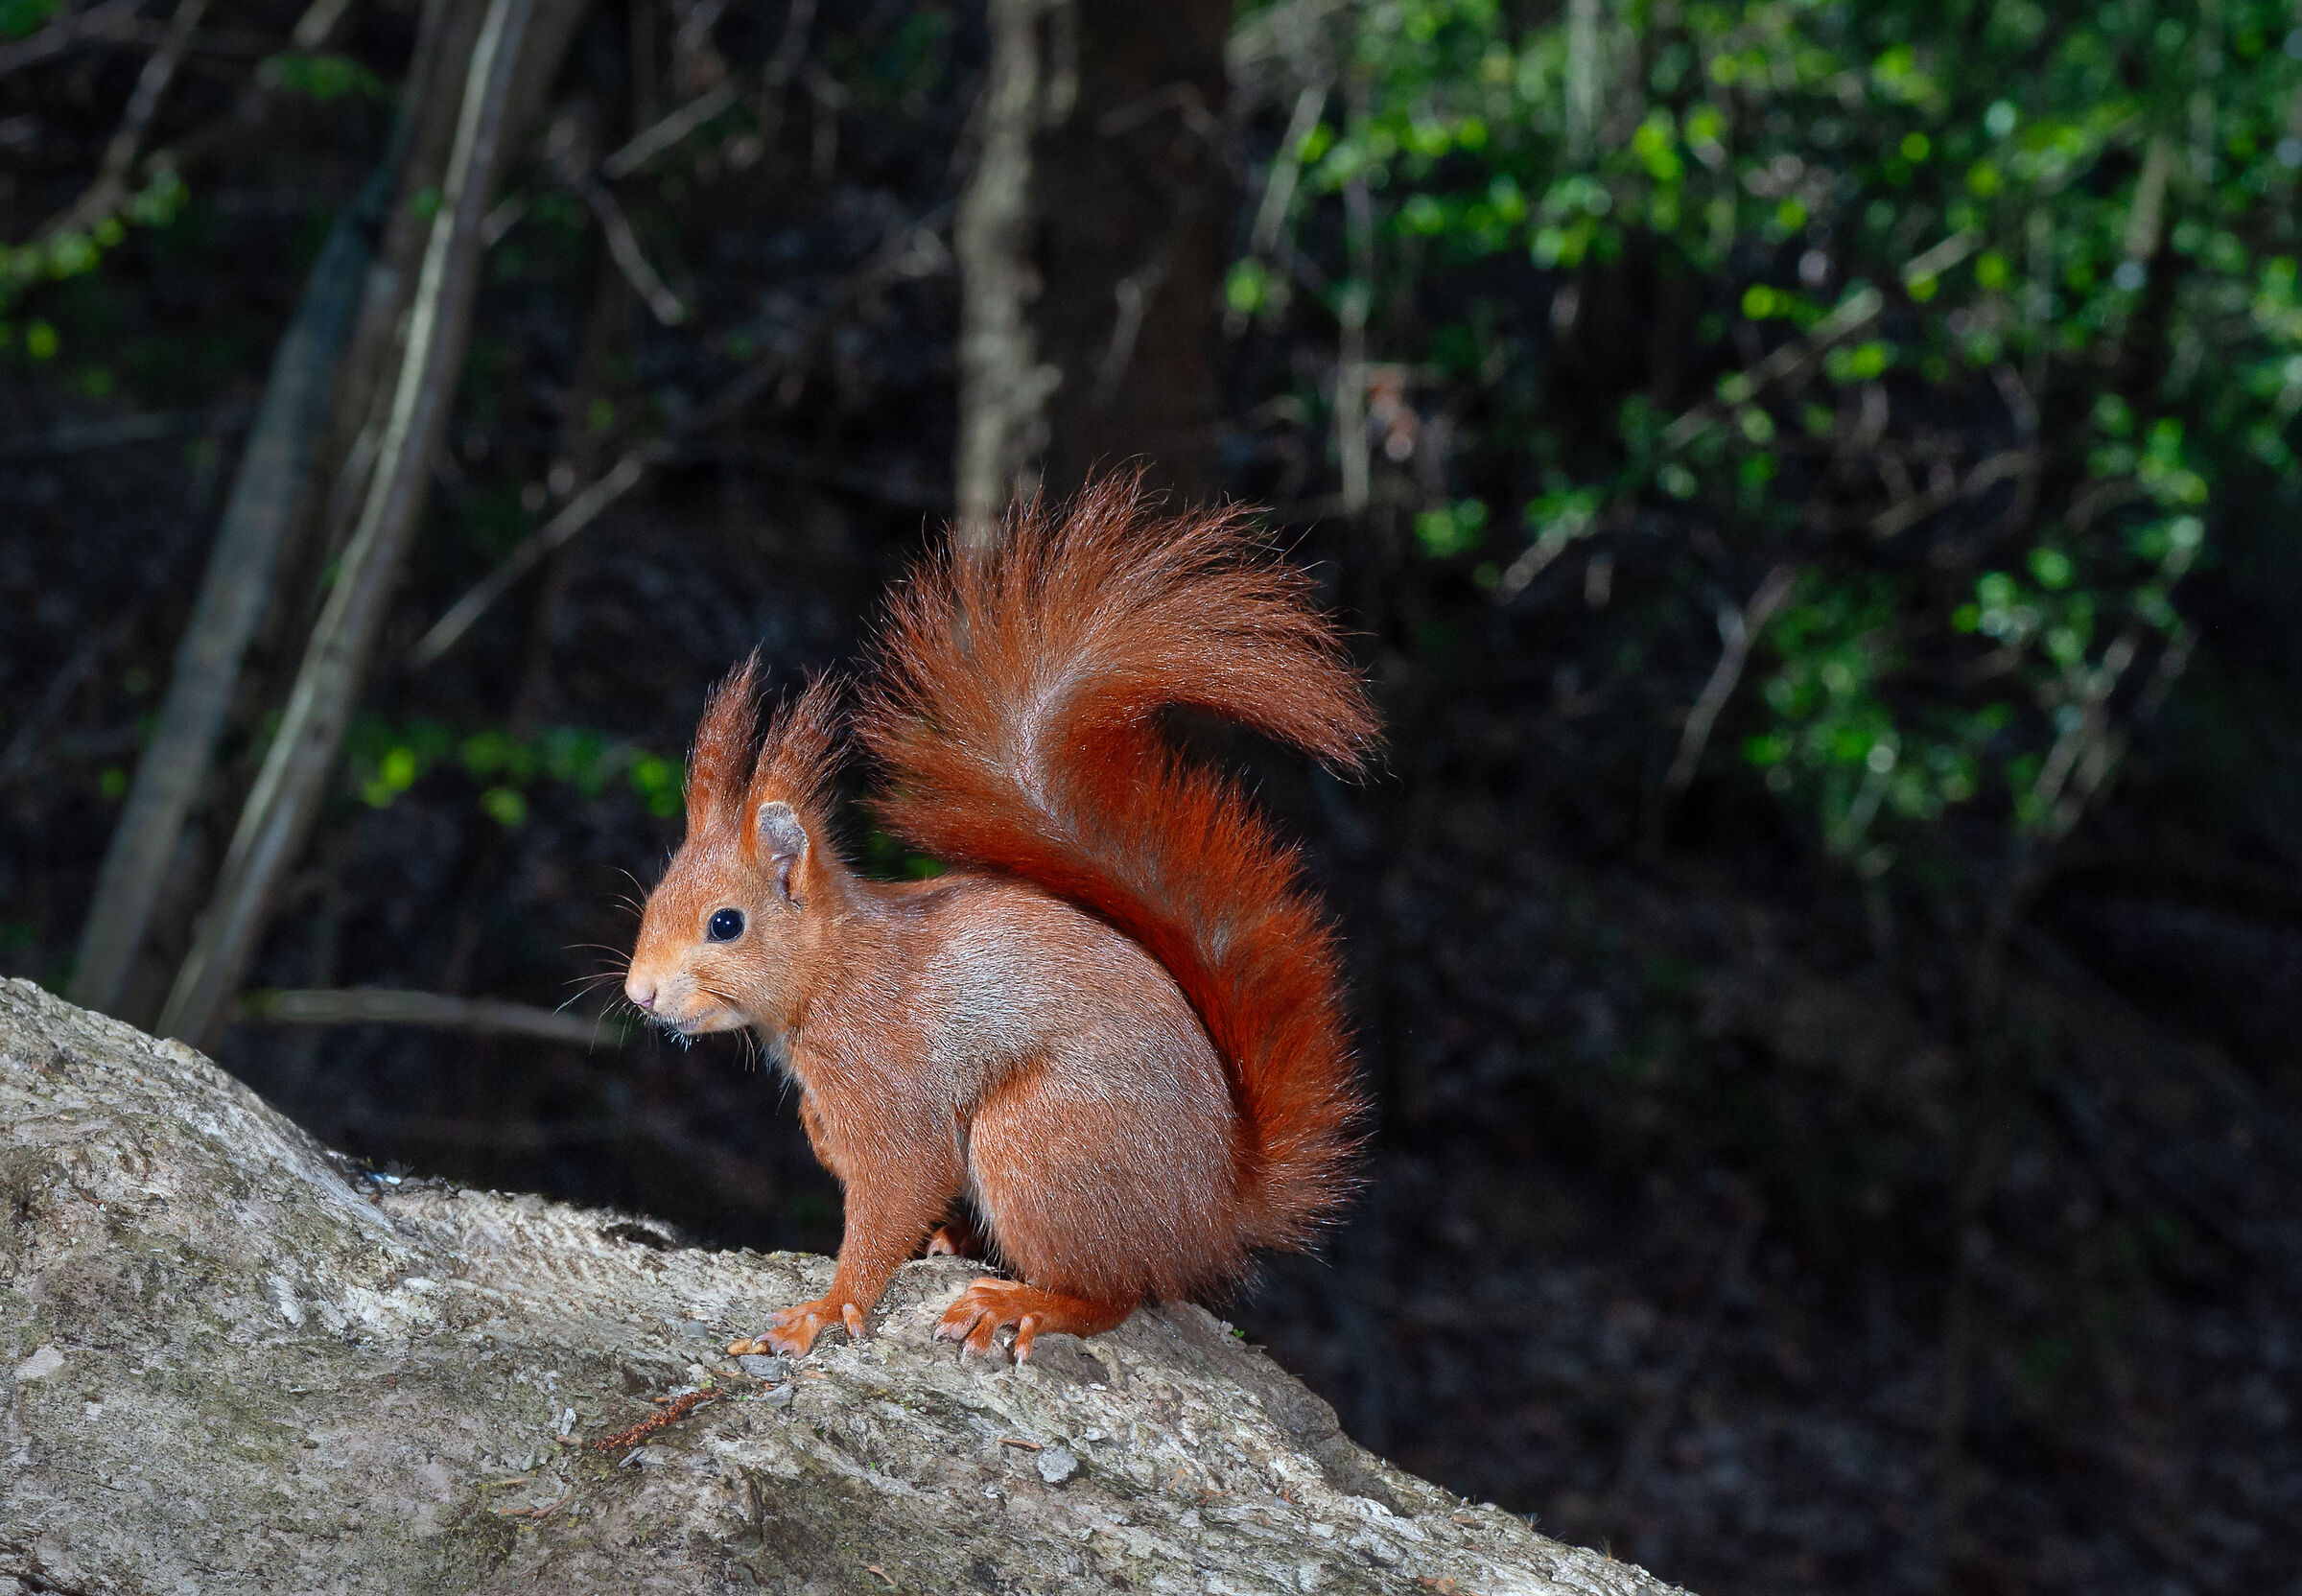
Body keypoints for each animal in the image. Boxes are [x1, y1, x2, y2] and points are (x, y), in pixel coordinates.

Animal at [622, 479, 1378, 1362]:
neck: (834, 973)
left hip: (1038, 1139)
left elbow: (897, 1189)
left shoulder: (890, 1084)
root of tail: (1213, 1216)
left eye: (726, 925)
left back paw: (1023, 1304)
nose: (639, 995)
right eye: (652, 900)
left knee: (1117, 1293)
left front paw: (825, 1309)